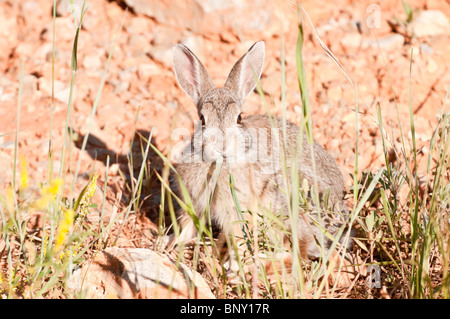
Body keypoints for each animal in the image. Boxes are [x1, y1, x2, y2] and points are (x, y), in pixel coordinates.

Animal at [171, 41, 354, 264]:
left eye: (239, 118)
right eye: (202, 119)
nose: (222, 146)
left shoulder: (237, 210)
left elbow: (239, 236)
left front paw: (233, 264)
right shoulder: (194, 203)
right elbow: (187, 226)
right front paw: (168, 245)